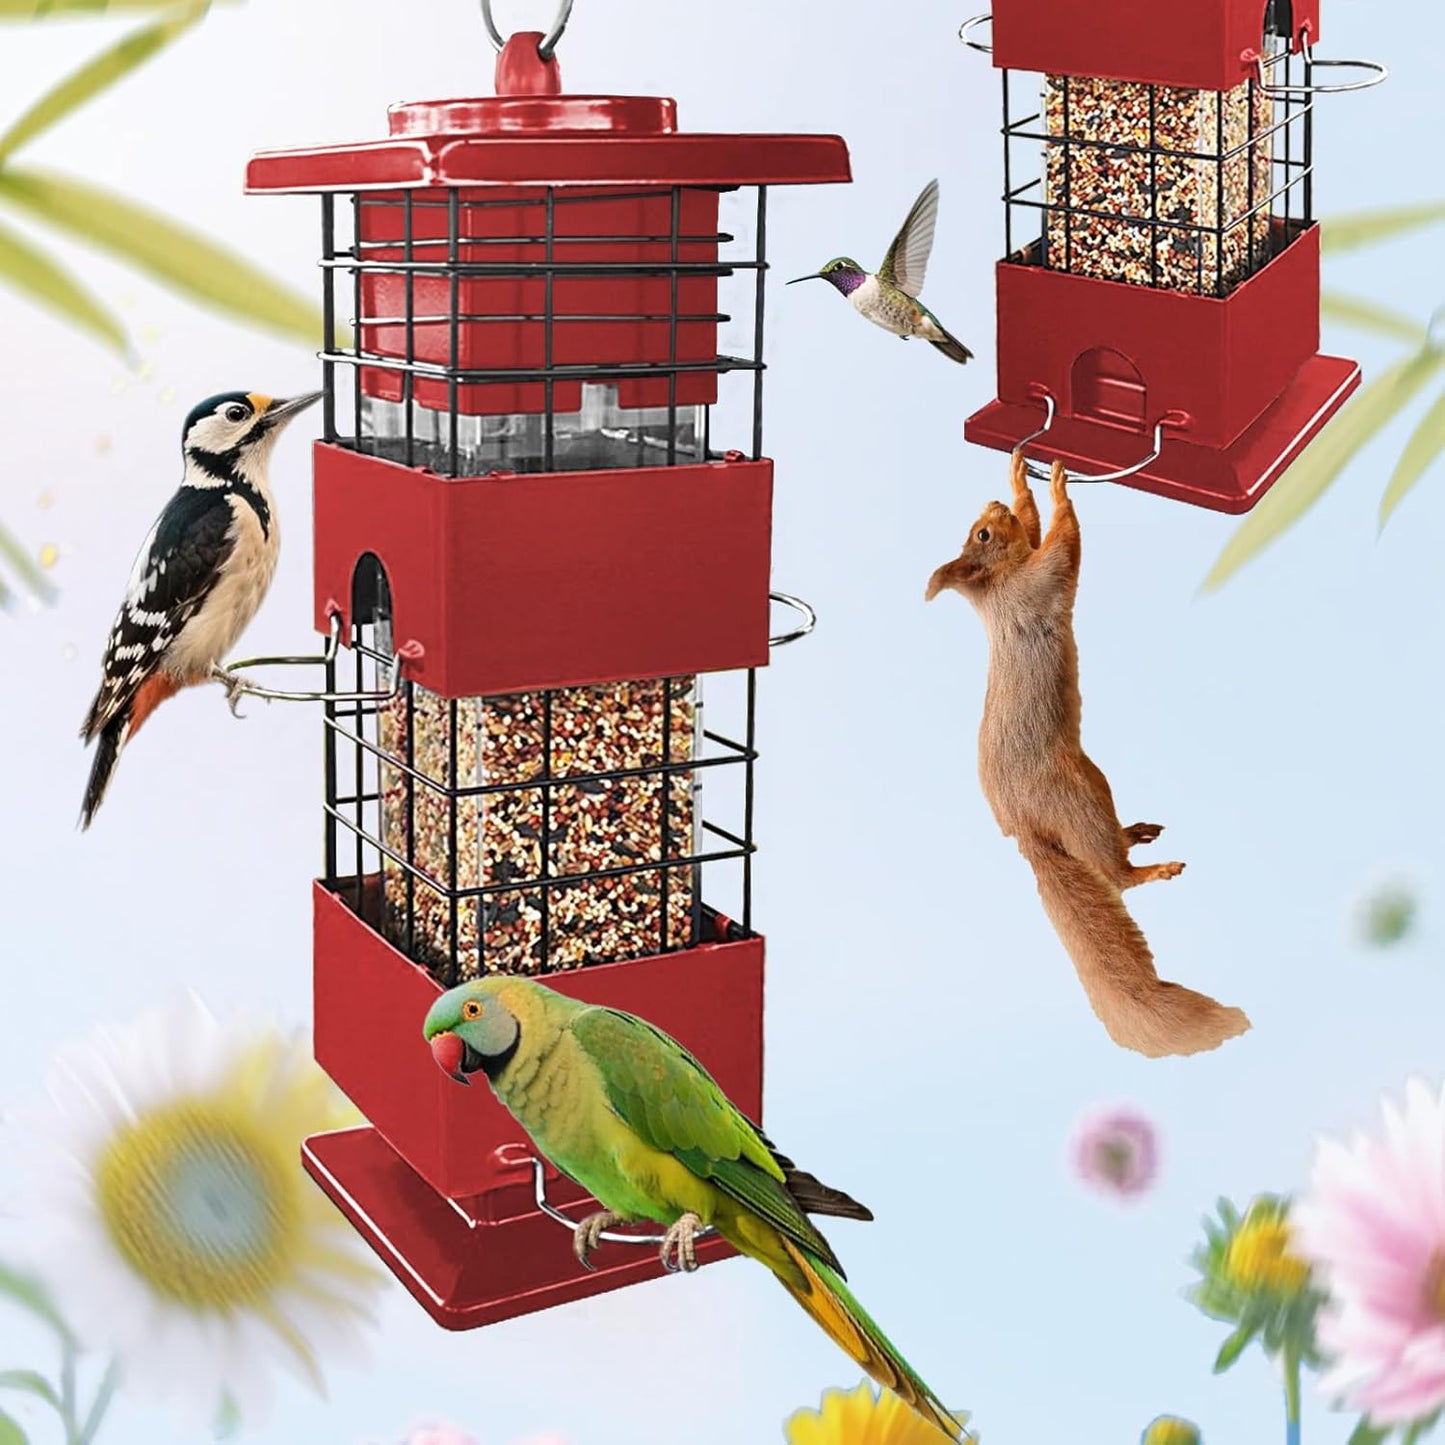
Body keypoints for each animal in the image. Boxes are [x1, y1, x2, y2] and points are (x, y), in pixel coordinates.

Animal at [925, 449, 1251, 1059]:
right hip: (1076, 796)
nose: (992, 504)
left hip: (1094, 784)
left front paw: (1020, 475)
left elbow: (1035, 528)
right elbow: (1063, 542)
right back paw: (1153, 868)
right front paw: (1058, 487)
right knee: (1115, 877)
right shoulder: (1039, 580)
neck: (997, 587)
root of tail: (1027, 829)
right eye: (982, 534)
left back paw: (1136, 832)